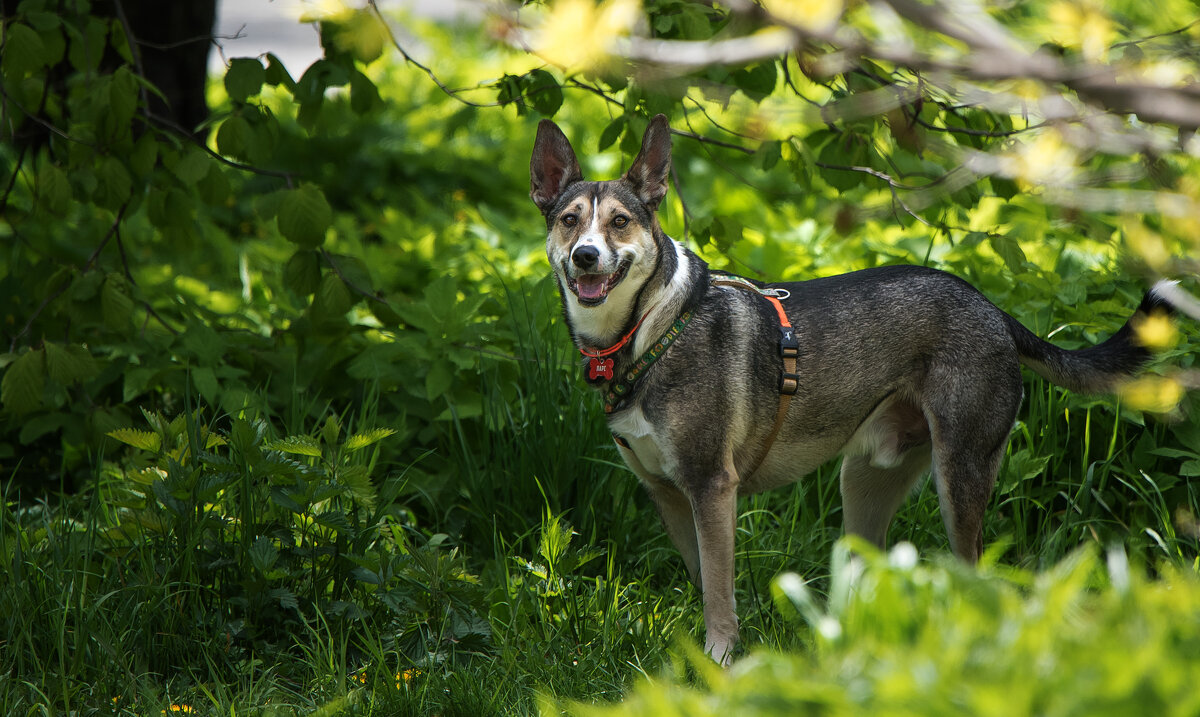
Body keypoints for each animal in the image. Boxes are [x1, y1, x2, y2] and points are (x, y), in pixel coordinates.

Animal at [530, 113, 1176, 666]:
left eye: (620, 221)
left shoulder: (712, 487)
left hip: (960, 475)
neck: (648, 329)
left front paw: (720, 659)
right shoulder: (667, 494)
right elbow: (702, 578)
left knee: (974, 573)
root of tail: (993, 310)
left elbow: (719, 590)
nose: (585, 256)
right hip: (866, 480)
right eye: (568, 221)